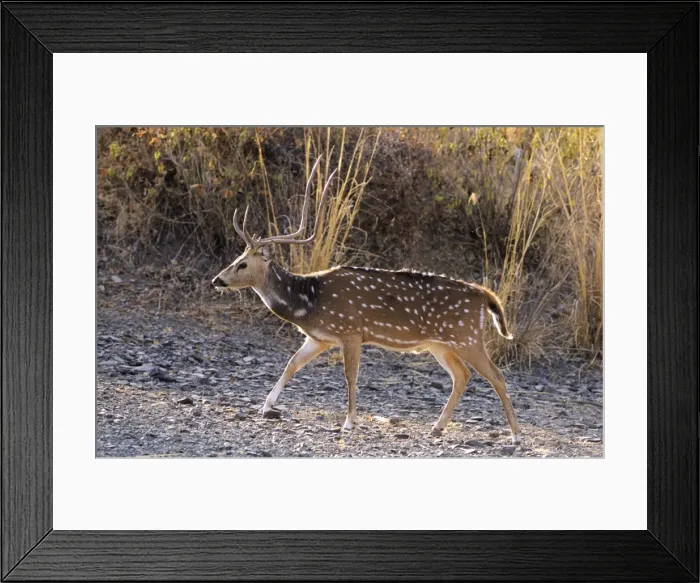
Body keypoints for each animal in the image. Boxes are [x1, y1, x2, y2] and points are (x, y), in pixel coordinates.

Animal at [212, 159, 521, 445]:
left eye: (242, 264)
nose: (217, 279)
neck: (309, 301)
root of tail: (485, 295)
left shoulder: (351, 330)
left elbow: (351, 376)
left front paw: (348, 423)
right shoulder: (319, 338)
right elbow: (292, 364)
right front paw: (266, 406)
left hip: (467, 337)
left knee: (496, 375)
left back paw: (516, 435)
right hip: (441, 344)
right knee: (462, 375)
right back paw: (437, 427)